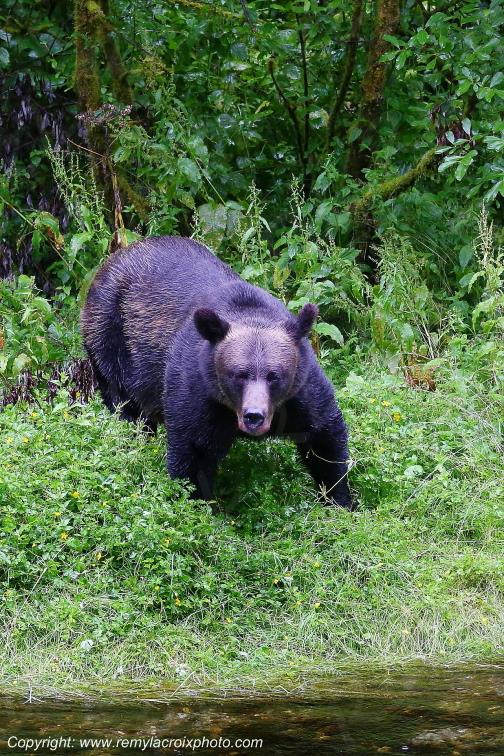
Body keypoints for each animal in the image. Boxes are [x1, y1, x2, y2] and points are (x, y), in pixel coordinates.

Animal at [81, 236, 352, 508]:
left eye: (275, 376)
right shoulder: (198, 392)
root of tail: (116, 256)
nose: (254, 416)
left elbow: (325, 440)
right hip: (110, 340)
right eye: (238, 374)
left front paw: (339, 499)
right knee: (124, 404)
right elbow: (193, 456)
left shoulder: (301, 394)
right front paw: (198, 502)